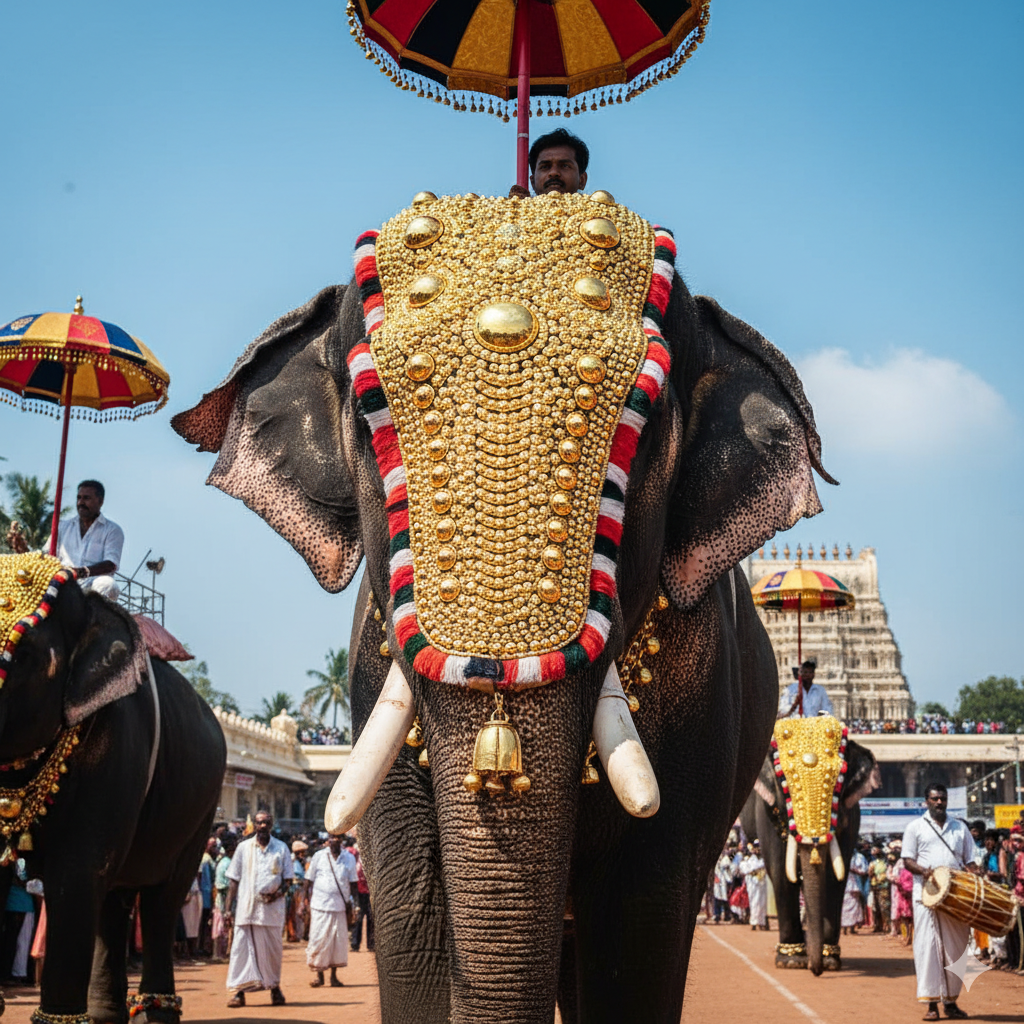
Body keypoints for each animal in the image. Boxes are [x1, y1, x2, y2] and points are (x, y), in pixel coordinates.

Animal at [0, 554, 227, 1023]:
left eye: (25, 653)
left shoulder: (117, 744)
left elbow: (75, 876)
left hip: (201, 807)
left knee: (161, 902)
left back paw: (154, 1012)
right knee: (113, 901)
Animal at [741, 730, 880, 976]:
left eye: (837, 784)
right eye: (785, 785)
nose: (817, 971)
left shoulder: (850, 815)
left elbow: (836, 876)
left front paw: (830, 961)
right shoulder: (766, 812)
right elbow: (781, 872)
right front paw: (791, 961)